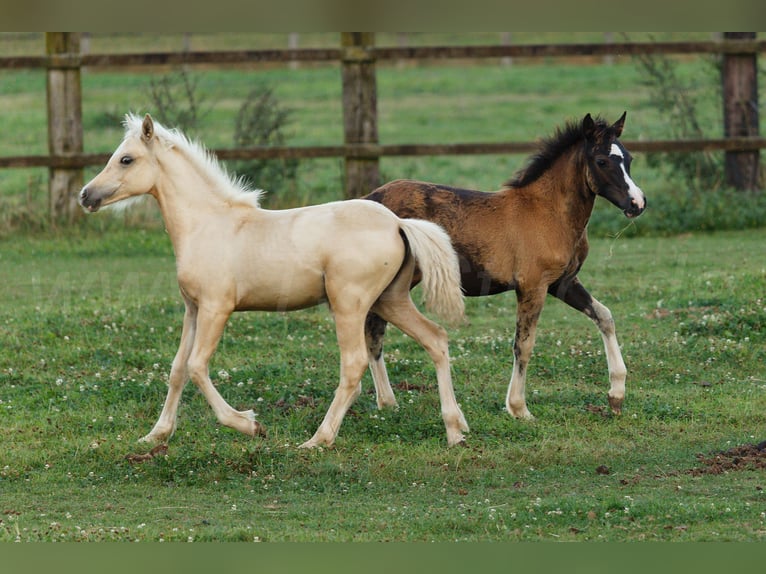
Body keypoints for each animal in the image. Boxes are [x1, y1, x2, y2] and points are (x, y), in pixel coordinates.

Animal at [81, 113, 472, 450]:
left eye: (126, 159)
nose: (86, 195)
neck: (208, 224)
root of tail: (397, 223)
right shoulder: (192, 308)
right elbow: (177, 369)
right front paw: (156, 434)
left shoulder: (216, 307)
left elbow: (196, 366)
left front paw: (250, 424)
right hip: (390, 299)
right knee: (436, 339)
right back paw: (456, 430)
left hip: (350, 303)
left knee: (354, 365)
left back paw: (318, 439)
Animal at [366, 111, 648, 418]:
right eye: (602, 161)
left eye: (629, 159)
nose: (637, 203)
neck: (548, 212)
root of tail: (368, 199)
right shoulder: (532, 286)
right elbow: (523, 344)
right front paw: (518, 408)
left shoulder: (562, 283)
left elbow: (604, 316)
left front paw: (616, 395)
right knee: (373, 329)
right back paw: (386, 400)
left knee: (374, 330)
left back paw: (386, 402)